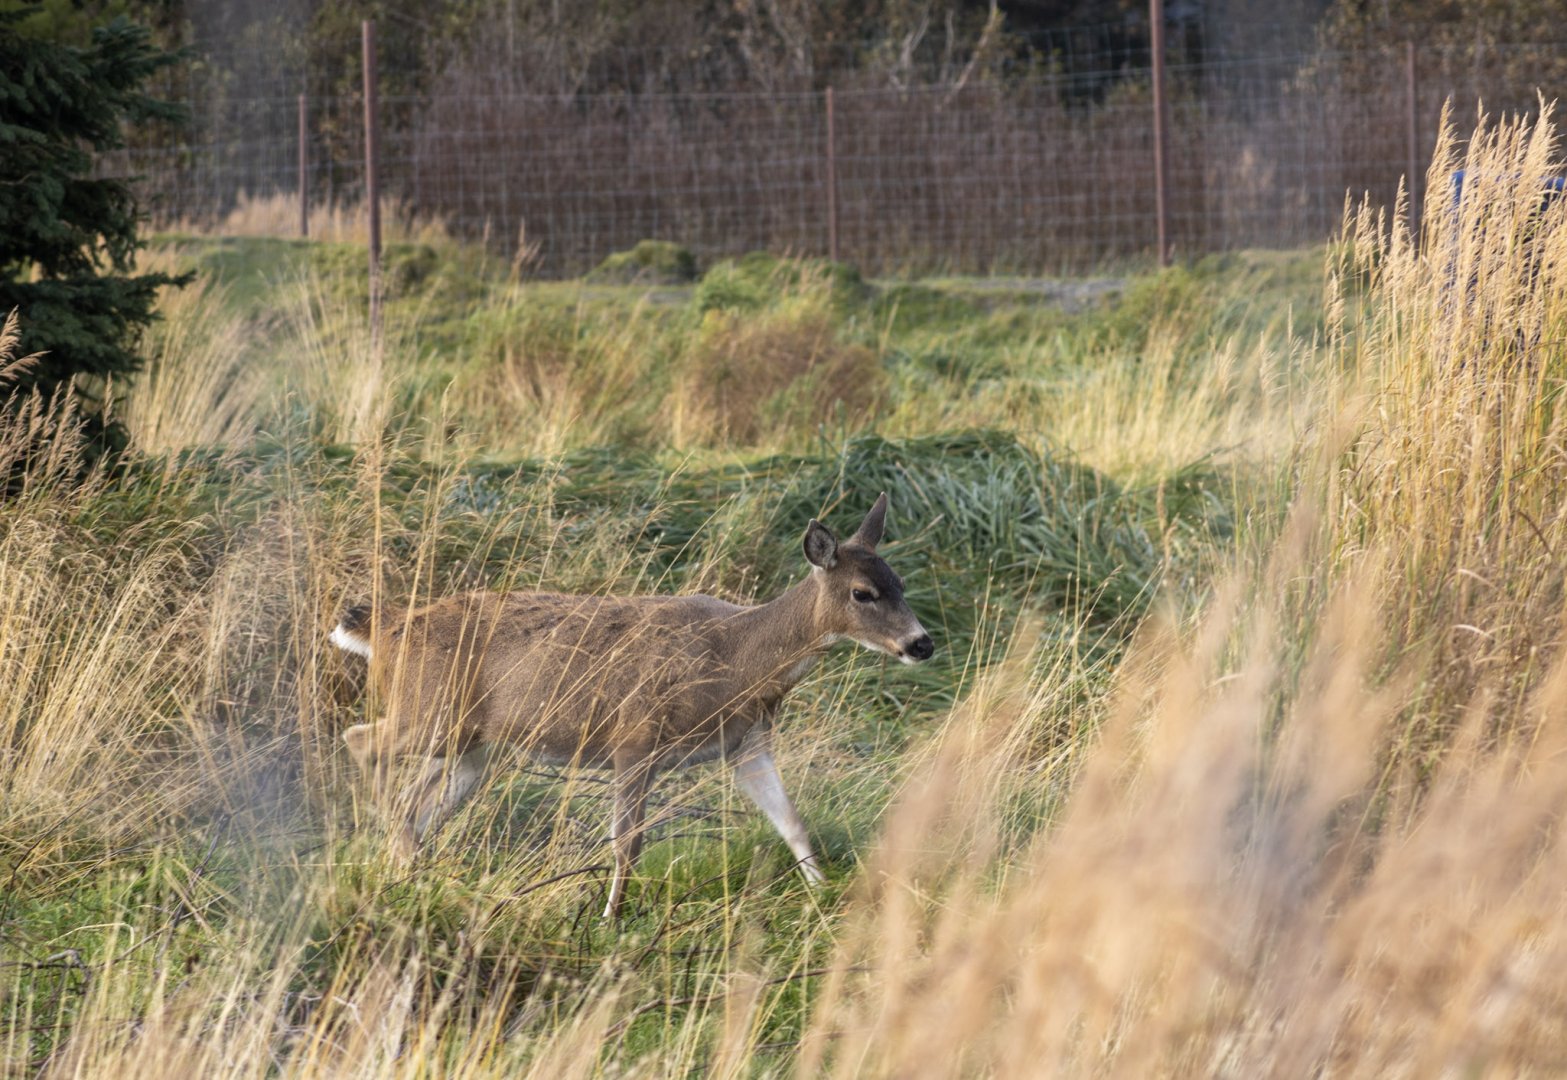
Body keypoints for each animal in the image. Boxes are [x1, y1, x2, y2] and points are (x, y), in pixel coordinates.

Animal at [330, 493, 934, 916]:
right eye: (862, 593)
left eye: (901, 583)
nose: (921, 644)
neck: (736, 662)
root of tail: (387, 628)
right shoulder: (635, 738)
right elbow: (628, 843)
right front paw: (609, 918)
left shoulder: (746, 743)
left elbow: (792, 823)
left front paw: (825, 896)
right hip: (428, 713)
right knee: (360, 743)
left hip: (473, 745)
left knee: (416, 802)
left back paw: (410, 874)